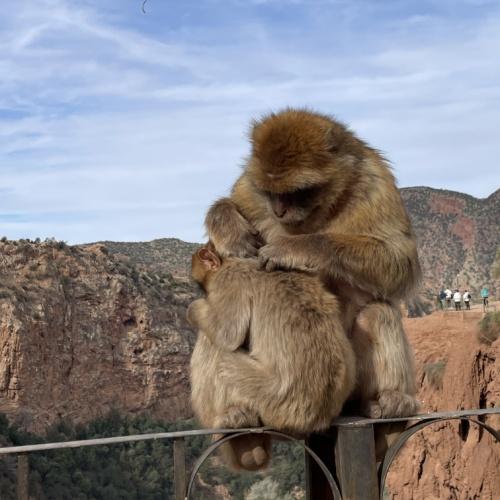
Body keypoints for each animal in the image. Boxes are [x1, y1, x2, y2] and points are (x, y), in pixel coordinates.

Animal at [188, 242, 356, 468]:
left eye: (202, 287)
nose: (204, 295)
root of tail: (318, 415)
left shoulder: (229, 281)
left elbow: (227, 334)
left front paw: (193, 308)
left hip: (271, 399)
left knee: (216, 349)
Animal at [205, 109, 420, 418]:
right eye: (270, 191)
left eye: (298, 191)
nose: (278, 210)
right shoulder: (248, 186)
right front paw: (229, 225)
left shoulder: (376, 184)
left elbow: (400, 260)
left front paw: (297, 247)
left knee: (378, 312)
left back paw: (391, 398)